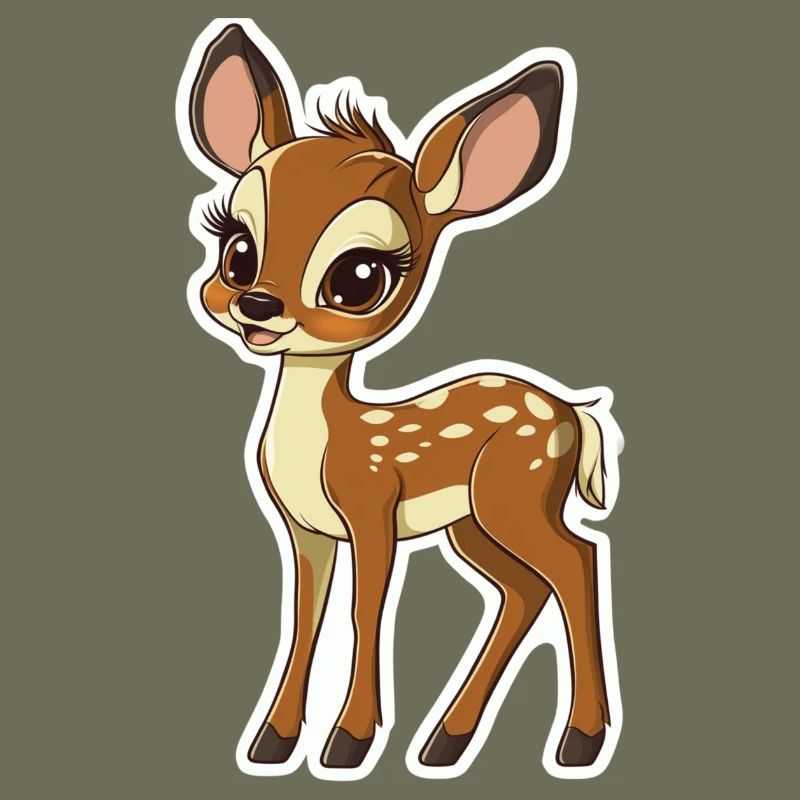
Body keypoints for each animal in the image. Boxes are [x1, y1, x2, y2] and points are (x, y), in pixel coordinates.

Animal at [179, 21, 621, 777]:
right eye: (236, 248)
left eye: (360, 277)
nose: (258, 305)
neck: (323, 441)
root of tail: (572, 413)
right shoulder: (305, 529)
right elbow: (306, 616)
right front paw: (274, 741)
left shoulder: (372, 508)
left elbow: (367, 610)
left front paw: (347, 743)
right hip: (473, 523)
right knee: (524, 588)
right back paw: (446, 742)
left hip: (518, 496)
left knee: (577, 562)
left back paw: (579, 741)